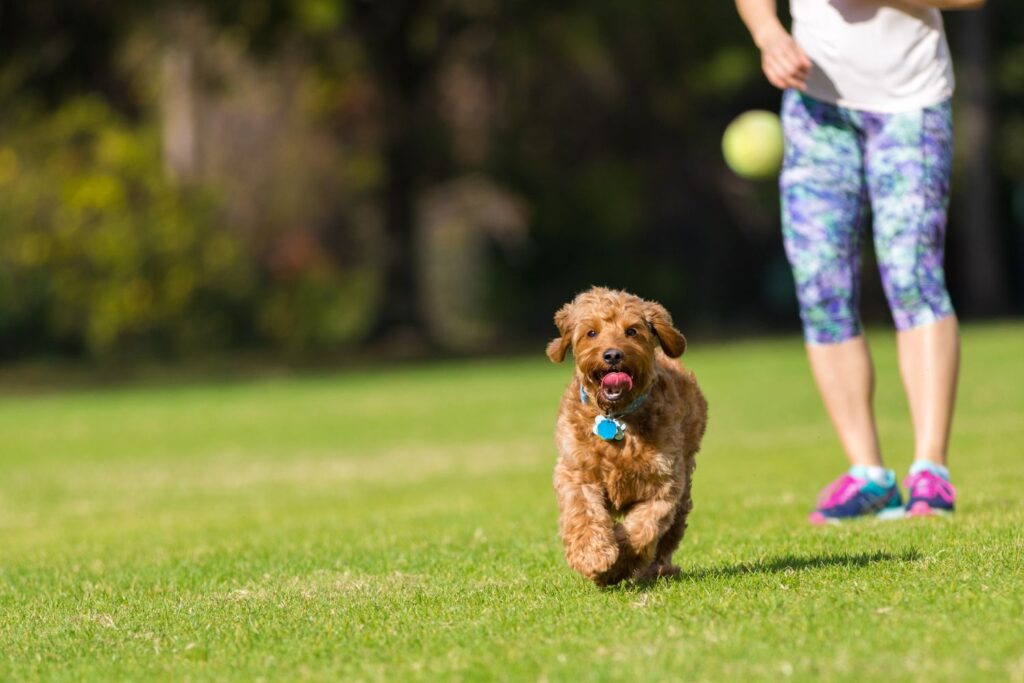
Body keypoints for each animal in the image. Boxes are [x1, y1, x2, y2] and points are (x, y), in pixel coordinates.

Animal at [548, 288, 708, 589]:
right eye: (591, 333)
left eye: (632, 331)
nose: (612, 355)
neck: (615, 418)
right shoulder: (576, 472)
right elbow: (583, 513)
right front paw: (594, 555)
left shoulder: (663, 483)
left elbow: (643, 529)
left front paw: (618, 562)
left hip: (683, 492)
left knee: (668, 538)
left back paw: (659, 570)